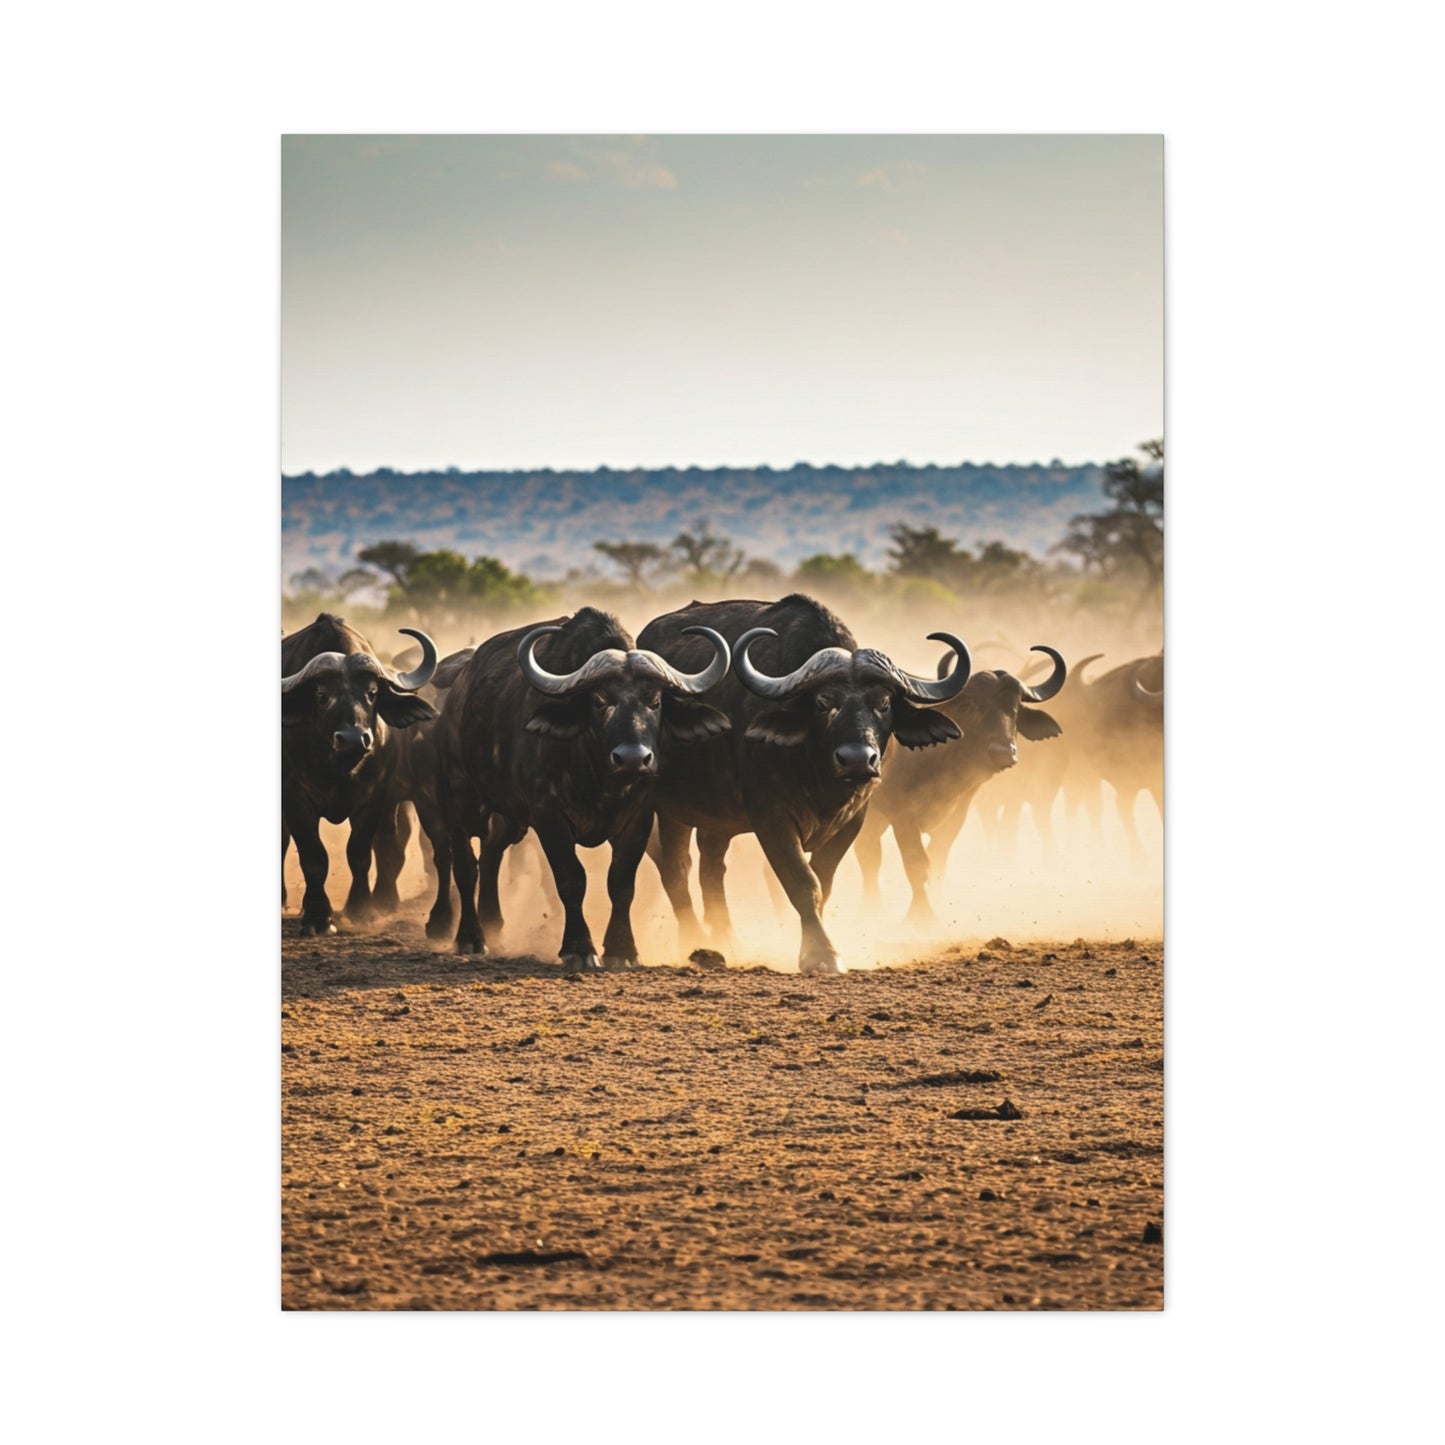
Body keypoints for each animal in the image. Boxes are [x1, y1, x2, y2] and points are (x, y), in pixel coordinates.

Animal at [637, 594, 972, 974]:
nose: (858, 759)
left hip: (717, 816)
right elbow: (801, 881)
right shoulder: (771, 818)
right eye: (824, 702)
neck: (821, 778)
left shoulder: (853, 820)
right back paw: (694, 940)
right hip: (669, 807)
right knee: (676, 867)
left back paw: (725, 940)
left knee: (711, 866)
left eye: (884, 703)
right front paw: (821, 954)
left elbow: (822, 882)